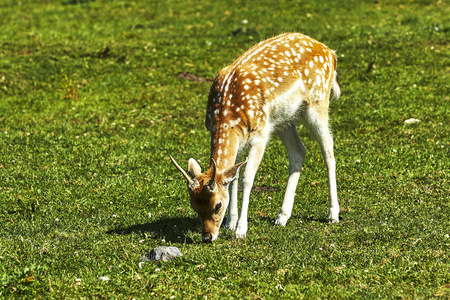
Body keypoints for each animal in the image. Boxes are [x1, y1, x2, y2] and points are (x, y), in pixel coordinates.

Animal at [171, 32, 340, 243]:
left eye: (217, 205)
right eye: (194, 206)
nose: (207, 237)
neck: (227, 120)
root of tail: (330, 52)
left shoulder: (260, 134)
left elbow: (247, 177)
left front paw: (240, 230)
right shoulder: (241, 139)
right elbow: (233, 176)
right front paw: (230, 223)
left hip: (318, 102)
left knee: (328, 148)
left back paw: (333, 214)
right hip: (282, 119)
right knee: (299, 151)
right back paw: (282, 217)